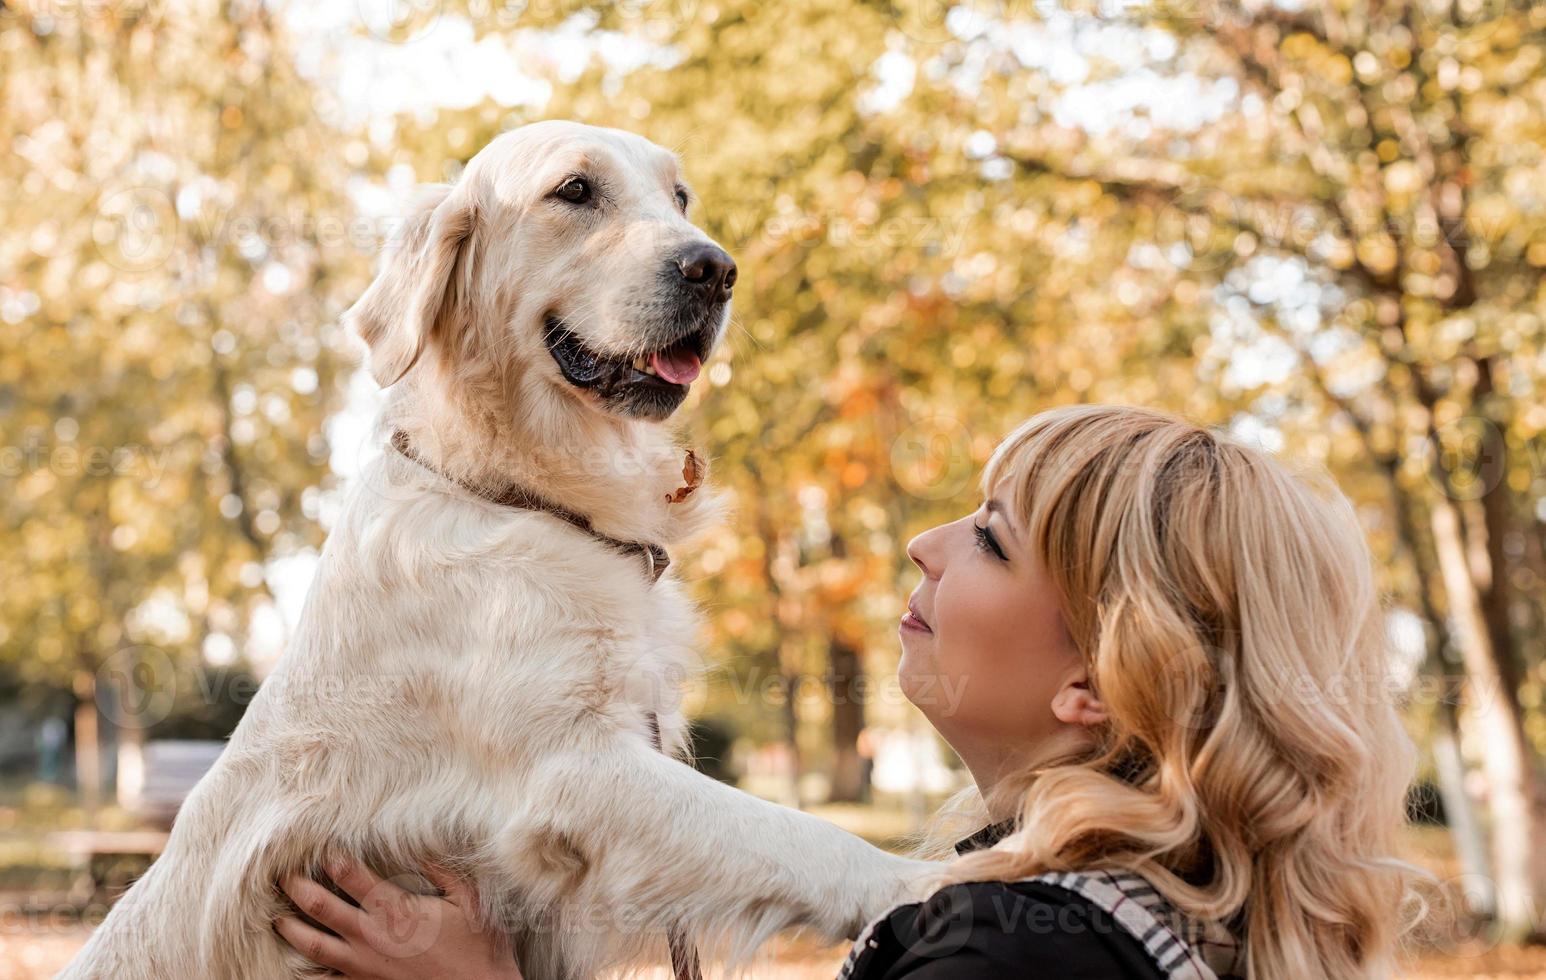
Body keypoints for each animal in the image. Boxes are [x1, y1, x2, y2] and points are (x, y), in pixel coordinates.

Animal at [60, 122, 933, 976]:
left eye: (680, 196)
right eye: (575, 190)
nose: (716, 269)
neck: (515, 493)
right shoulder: (572, 770)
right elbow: (793, 834)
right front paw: (925, 880)